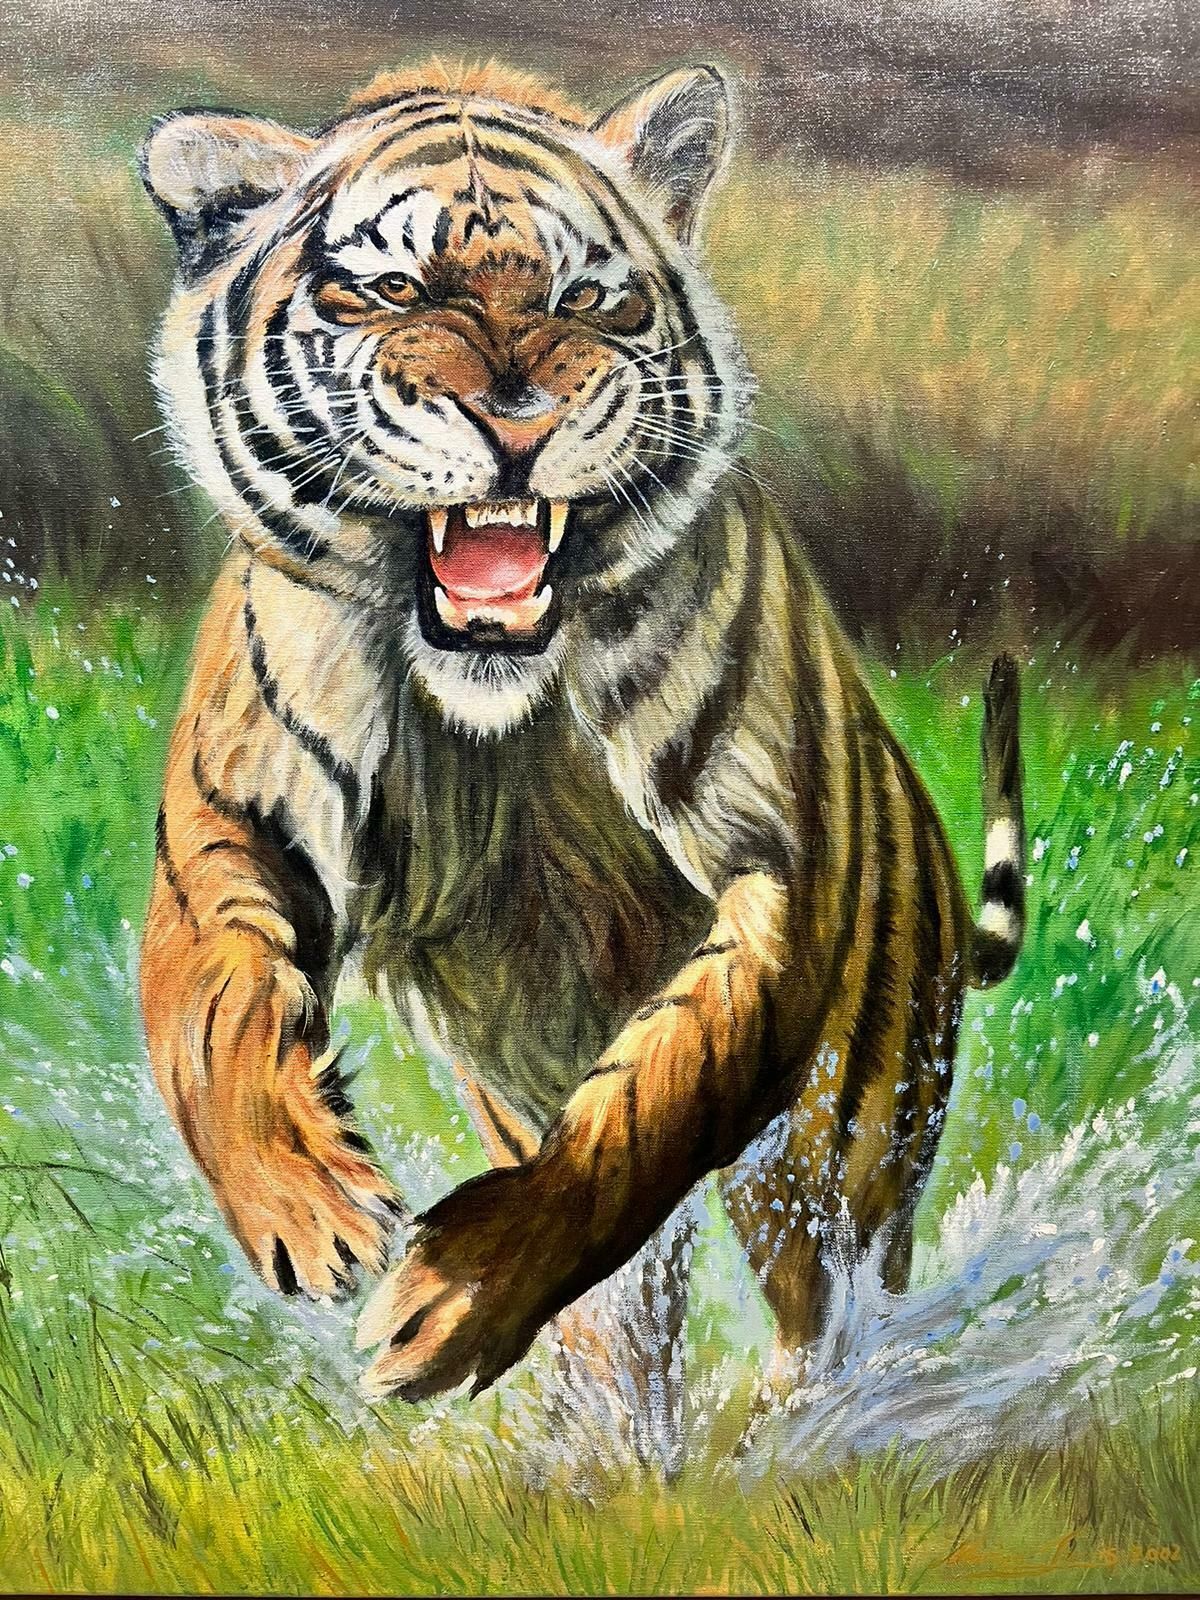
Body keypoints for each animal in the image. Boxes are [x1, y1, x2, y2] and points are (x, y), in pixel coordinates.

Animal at [138, 59, 1026, 1406]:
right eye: (392, 289)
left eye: (591, 299)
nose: (515, 419)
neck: (489, 708)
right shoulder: (232, 823)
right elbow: (213, 1020)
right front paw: (314, 1208)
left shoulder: (768, 874)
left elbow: (650, 1111)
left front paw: (455, 1292)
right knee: (627, 1333)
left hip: (850, 1137)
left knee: (827, 1299)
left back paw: (795, 1427)